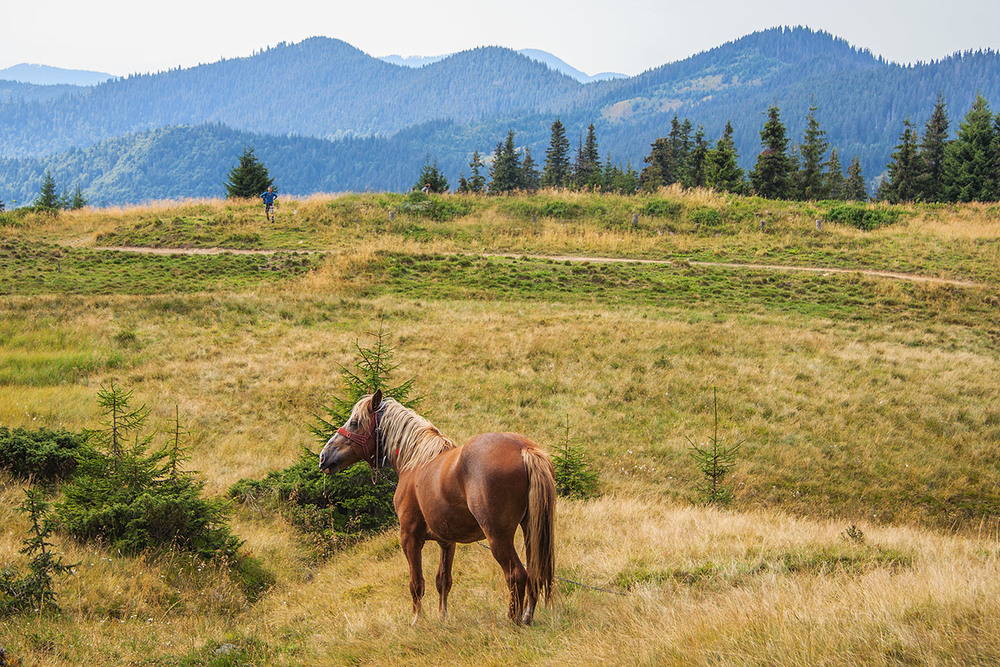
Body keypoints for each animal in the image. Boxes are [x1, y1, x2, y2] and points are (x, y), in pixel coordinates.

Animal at [318, 392, 556, 628]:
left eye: (355, 423)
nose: (323, 457)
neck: (415, 460)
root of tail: (523, 448)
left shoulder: (410, 537)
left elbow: (416, 583)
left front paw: (417, 619)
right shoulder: (447, 541)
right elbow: (443, 580)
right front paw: (443, 616)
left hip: (498, 536)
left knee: (516, 574)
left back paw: (513, 620)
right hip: (531, 529)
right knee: (535, 571)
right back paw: (527, 616)